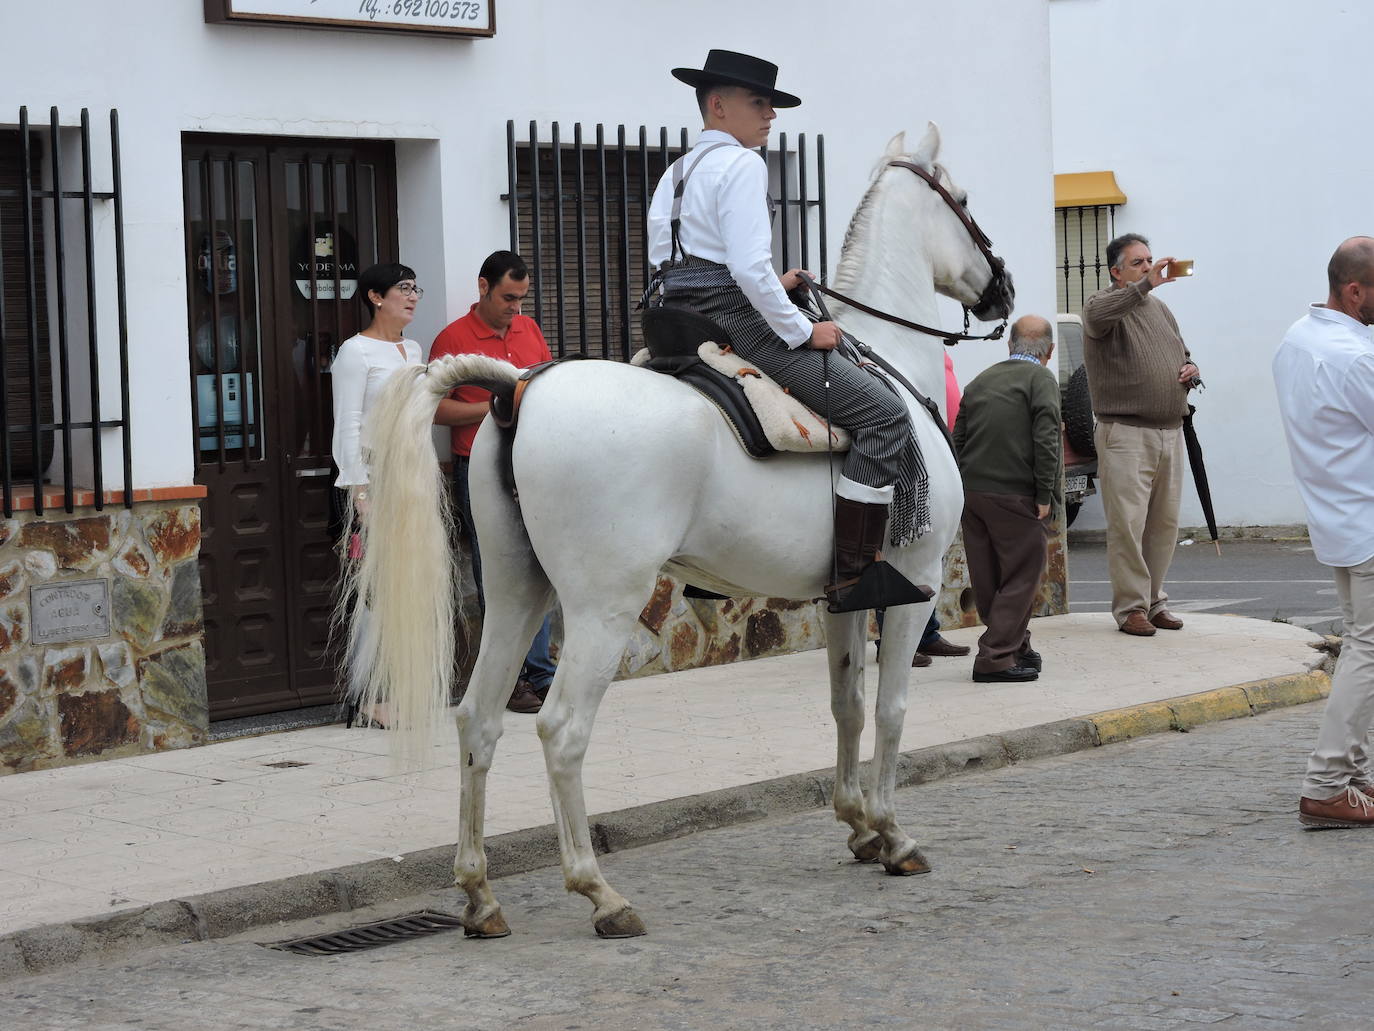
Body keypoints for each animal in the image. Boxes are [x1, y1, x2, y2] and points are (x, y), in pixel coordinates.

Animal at [345, 121, 1015, 940]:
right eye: (965, 198)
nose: (1003, 288)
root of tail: (520, 387)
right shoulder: (911, 583)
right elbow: (889, 710)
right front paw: (892, 834)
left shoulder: (845, 595)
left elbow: (847, 704)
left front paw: (857, 824)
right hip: (602, 606)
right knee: (562, 729)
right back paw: (599, 893)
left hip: (515, 590)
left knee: (478, 718)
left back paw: (479, 895)